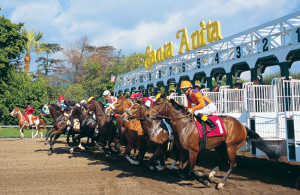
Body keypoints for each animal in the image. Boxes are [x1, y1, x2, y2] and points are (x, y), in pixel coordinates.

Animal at [145, 93, 278, 190]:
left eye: (157, 103)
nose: (147, 116)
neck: (184, 124)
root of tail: (242, 125)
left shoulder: (193, 151)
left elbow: (191, 170)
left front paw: (203, 182)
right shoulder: (183, 151)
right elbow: (180, 167)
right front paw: (184, 174)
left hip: (231, 146)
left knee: (233, 164)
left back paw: (220, 183)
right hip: (220, 146)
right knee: (224, 161)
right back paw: (211, 175)